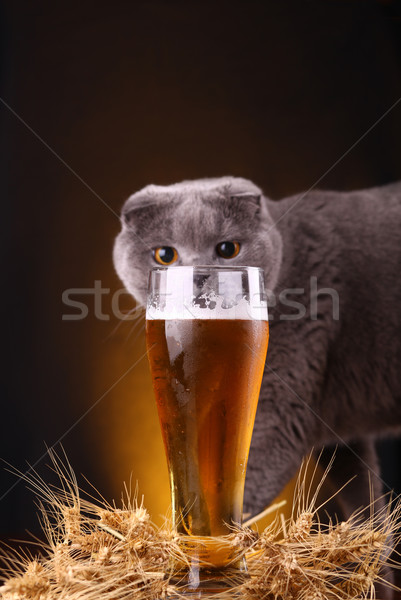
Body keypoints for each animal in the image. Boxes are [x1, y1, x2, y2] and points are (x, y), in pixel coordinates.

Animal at [111, 176, 400, 524]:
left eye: (227, 249)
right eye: (164, 254)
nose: (200, 276)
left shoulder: (282, 403)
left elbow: (239, 483)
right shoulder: (338, 434)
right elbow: (364, 499)